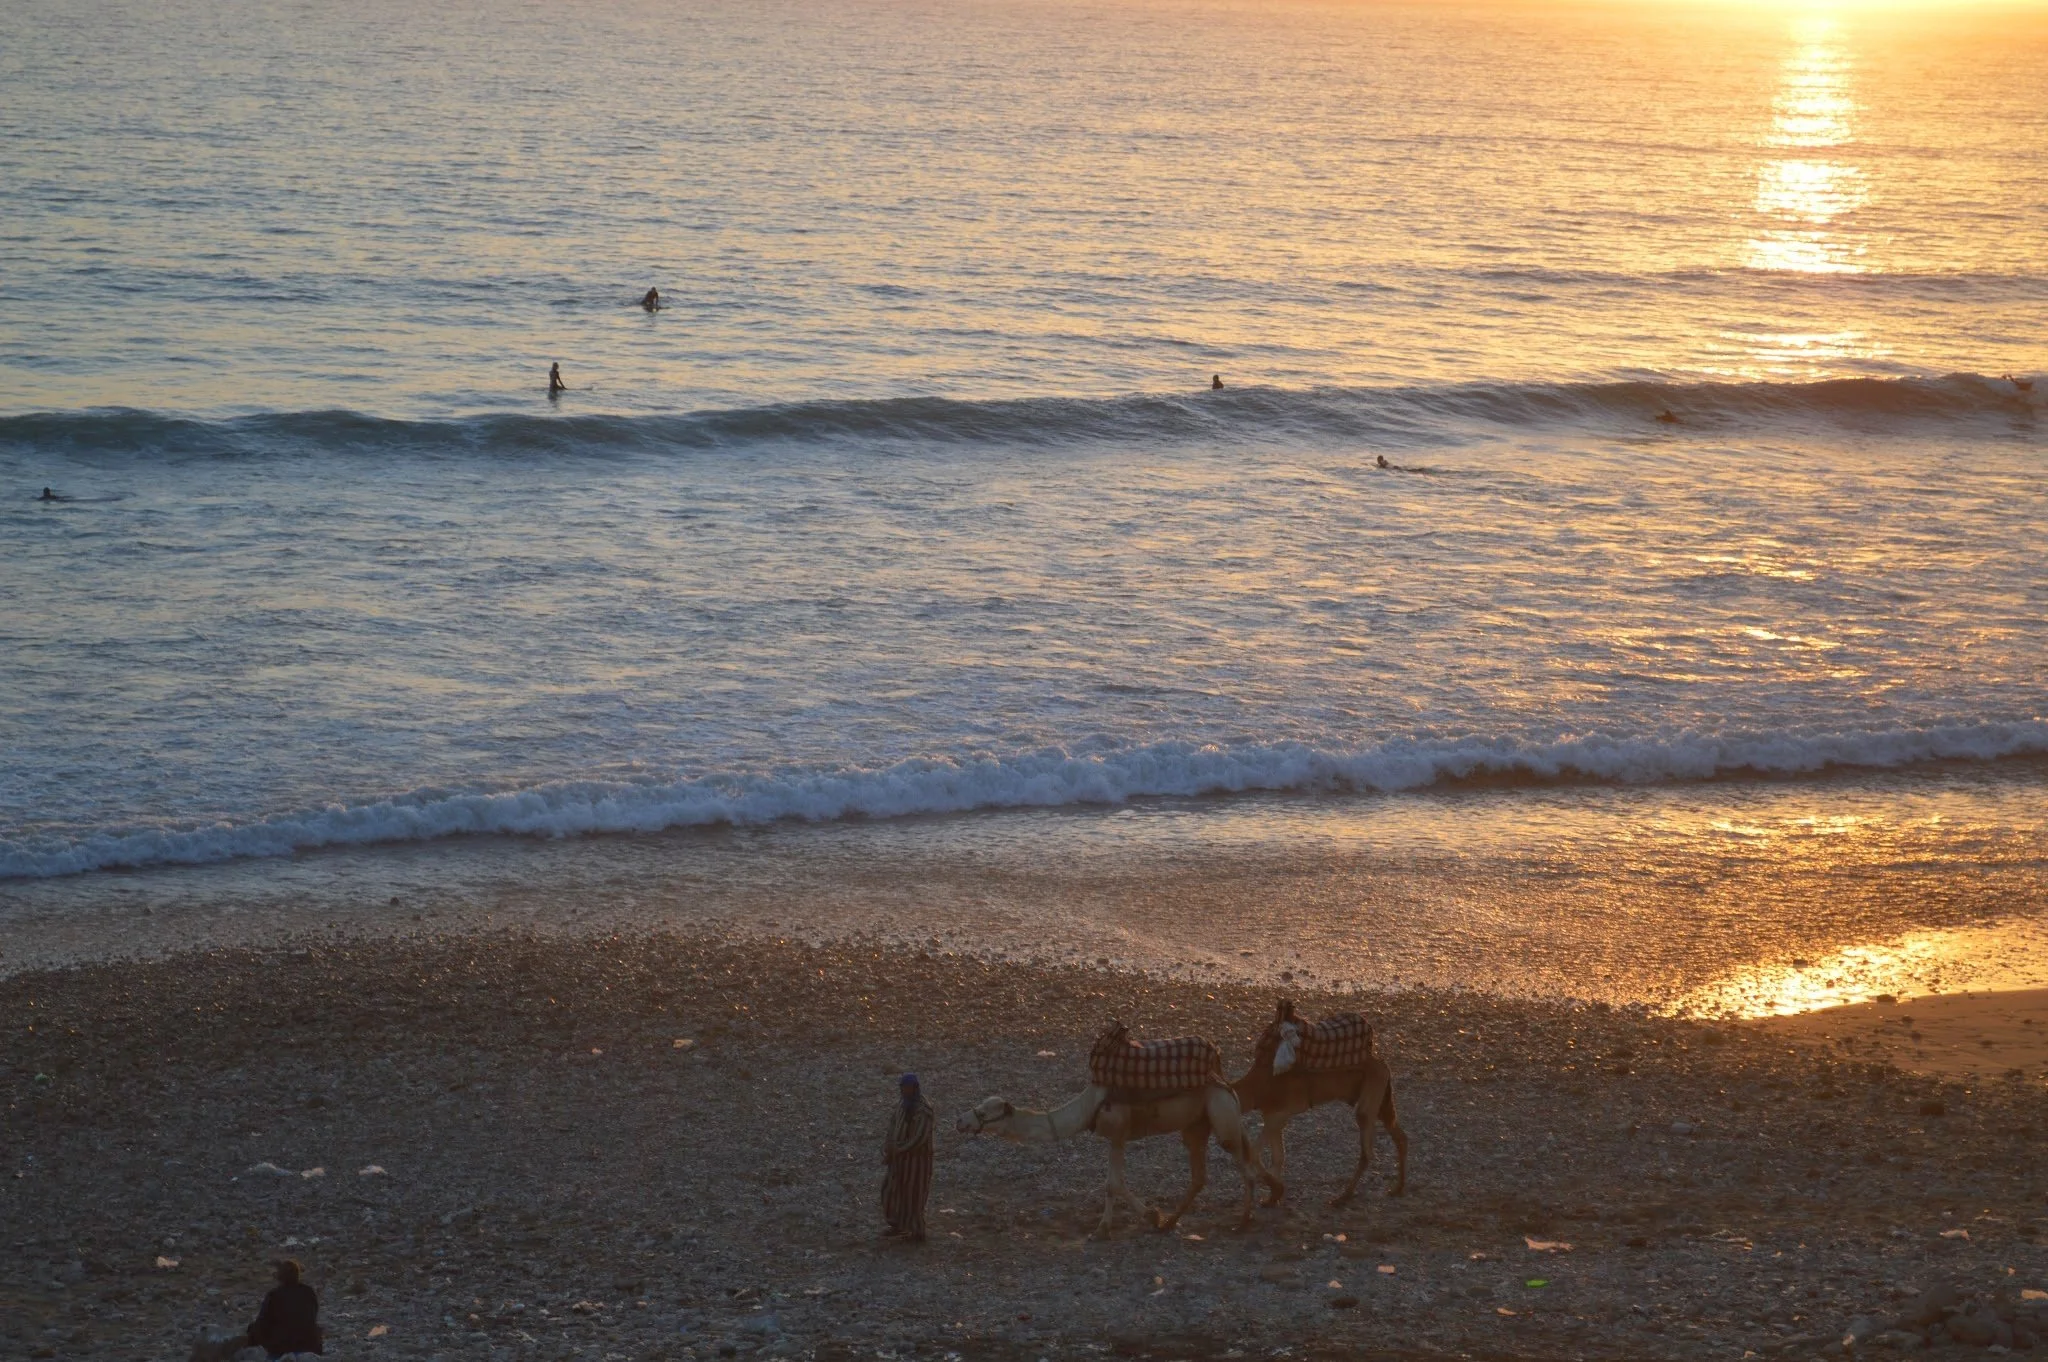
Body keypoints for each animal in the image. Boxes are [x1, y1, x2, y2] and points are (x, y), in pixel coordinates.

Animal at [957, 1083, 1282, 1236]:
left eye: (984, 1112)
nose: (961, 1122)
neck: (1087, 1107)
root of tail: (1229, 1088)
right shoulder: (1117, 1138)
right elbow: (1114, 1183)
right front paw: (1152, 1216)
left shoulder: (1117, 1133)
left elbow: (1112, 1184)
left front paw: (1107, 1228)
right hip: (1197, 1125)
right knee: (1201, 1175)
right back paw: (1170, 1223)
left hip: (1221, 1116)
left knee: (1243, 1167)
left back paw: (1241, 1223)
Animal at [1232, 1009, 1408, 1207]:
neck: (1256, 1085)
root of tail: (1382, 1063)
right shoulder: (1271, 1115)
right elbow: (1278, 1158)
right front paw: (1272, 1197)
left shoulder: (1279, 1115)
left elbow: (1254, 1153)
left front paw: (1276, 1191)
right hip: (1379, 1098)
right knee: (1399, 1135)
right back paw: (1397, 1188)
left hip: (1372, 1089)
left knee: (1367, 1146)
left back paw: (1343, 1197)